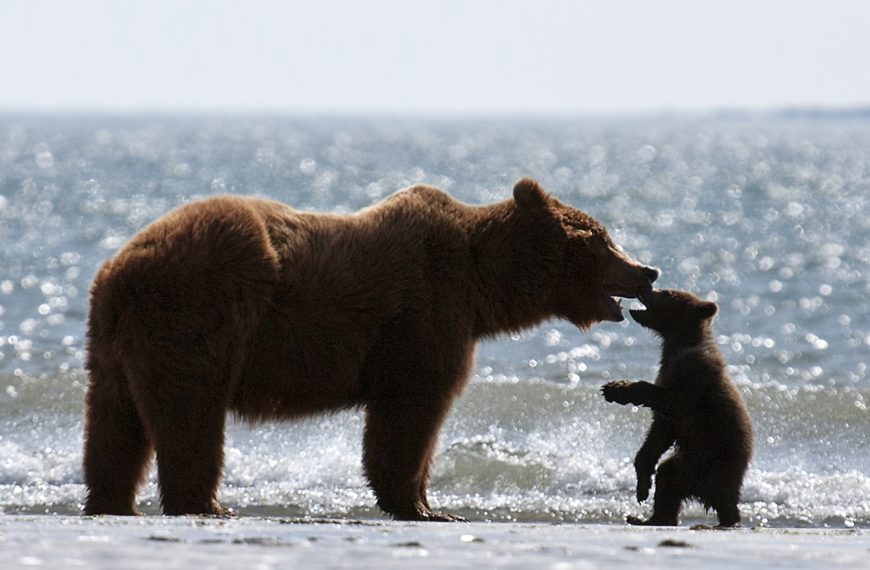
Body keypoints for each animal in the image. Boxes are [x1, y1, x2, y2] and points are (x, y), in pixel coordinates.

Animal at [82, 177, 660, 520]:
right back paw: (204, 504)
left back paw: (112, 502)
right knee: (191, 412)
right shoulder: (425, 315)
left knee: (114, 423)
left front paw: (426, 502)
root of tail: (117, 269)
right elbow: (411, 410)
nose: (648, 270)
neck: (482, 287)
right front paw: (423, 505)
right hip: (199, 314)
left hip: (113, 345)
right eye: (602, 239)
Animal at [601, 288, 753, 527]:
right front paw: (642, 484)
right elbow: (658, 435)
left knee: (713, 494)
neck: (678, 344)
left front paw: (616, 389)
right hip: (689, 463)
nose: (646, 288)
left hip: (712, 460)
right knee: (667, 481)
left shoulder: (693, 377)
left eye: (666, 293)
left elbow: (673, 402)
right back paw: (648, 518)